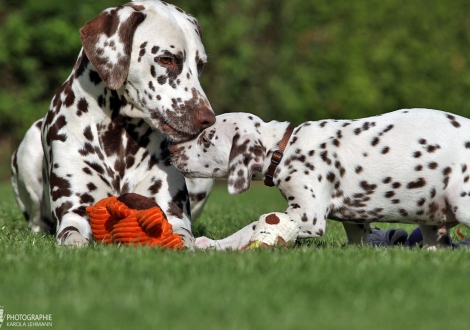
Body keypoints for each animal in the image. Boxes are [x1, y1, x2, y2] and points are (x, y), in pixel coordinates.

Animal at [10, 0, 217, 248]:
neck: (119, 137)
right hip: (28, 148)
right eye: (166, 58)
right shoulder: (73, 213)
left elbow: (184, 236)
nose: (208, 119)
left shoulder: (173, 213)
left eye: (200, 64)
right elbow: (72, 236)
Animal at [170, 109, 470, 249]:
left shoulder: (306, 217)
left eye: (206, 140)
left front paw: (214, 244)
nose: (171, 150)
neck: (285, 148)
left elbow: (251, 227)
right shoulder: (355, 220)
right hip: (433, 222)